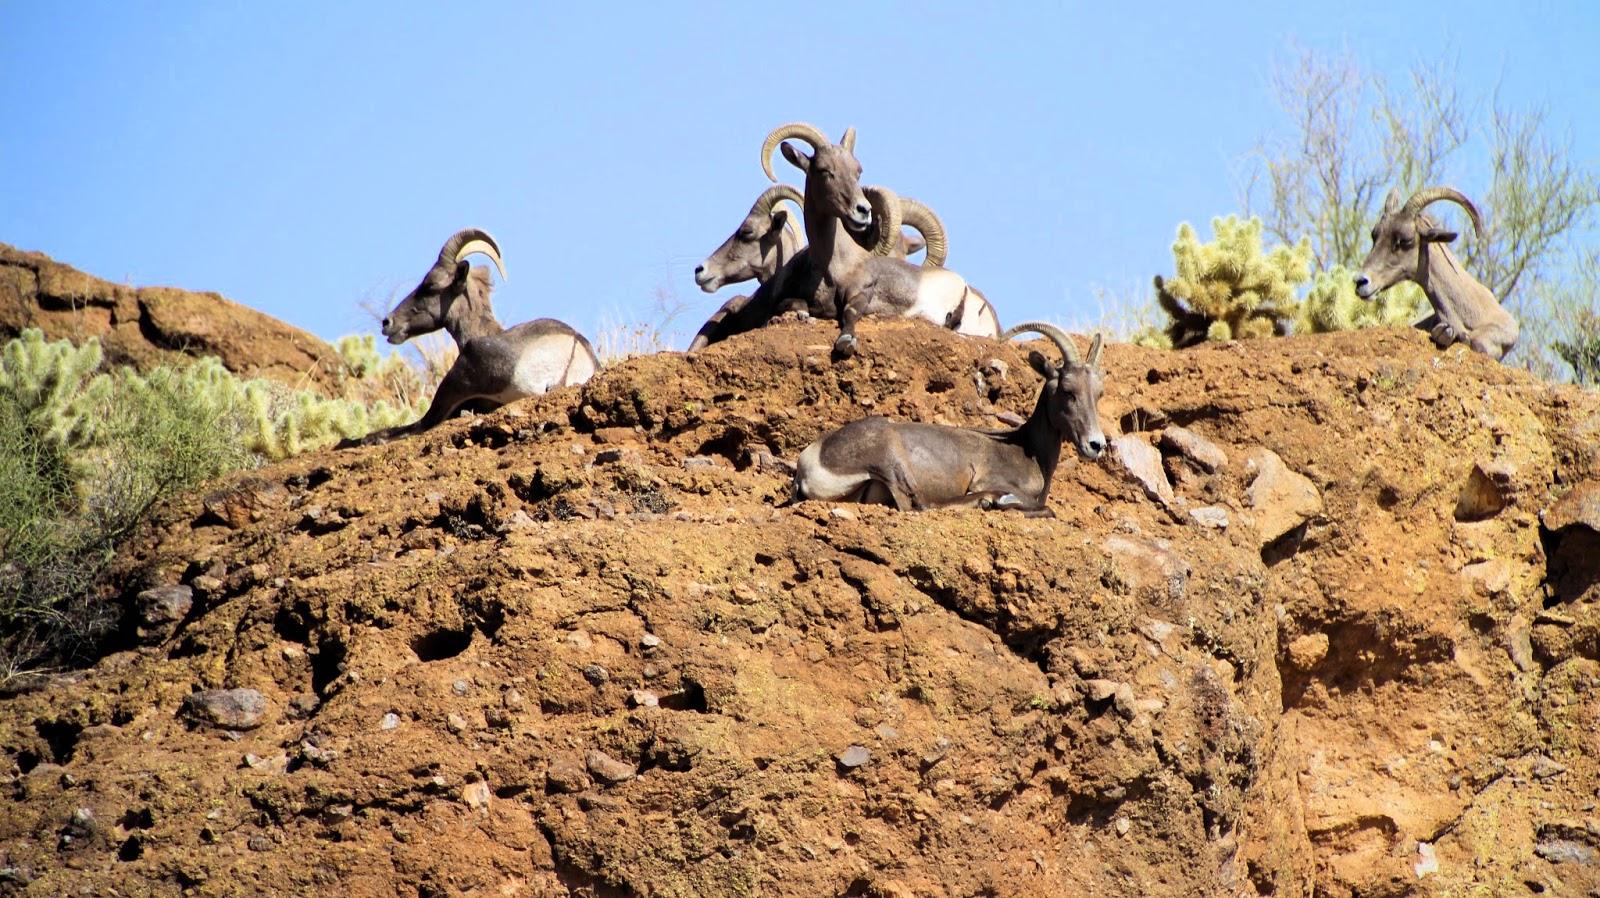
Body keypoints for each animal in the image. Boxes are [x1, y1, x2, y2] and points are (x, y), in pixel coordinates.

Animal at [760, 122, 999, 357]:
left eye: (857, 171)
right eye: (824, 170)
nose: (862, 210)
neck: (835, 267)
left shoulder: (862, 292)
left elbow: (849, 312)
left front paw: (846, 342)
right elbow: (794, 303)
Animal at [791, 322, 1106, 515]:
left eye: (1098, 393)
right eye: (1067, 390)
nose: (1096, 445)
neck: (1028, 450)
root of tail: (810, 462)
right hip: (891, 458)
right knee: (918, 505)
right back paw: (991, 501)